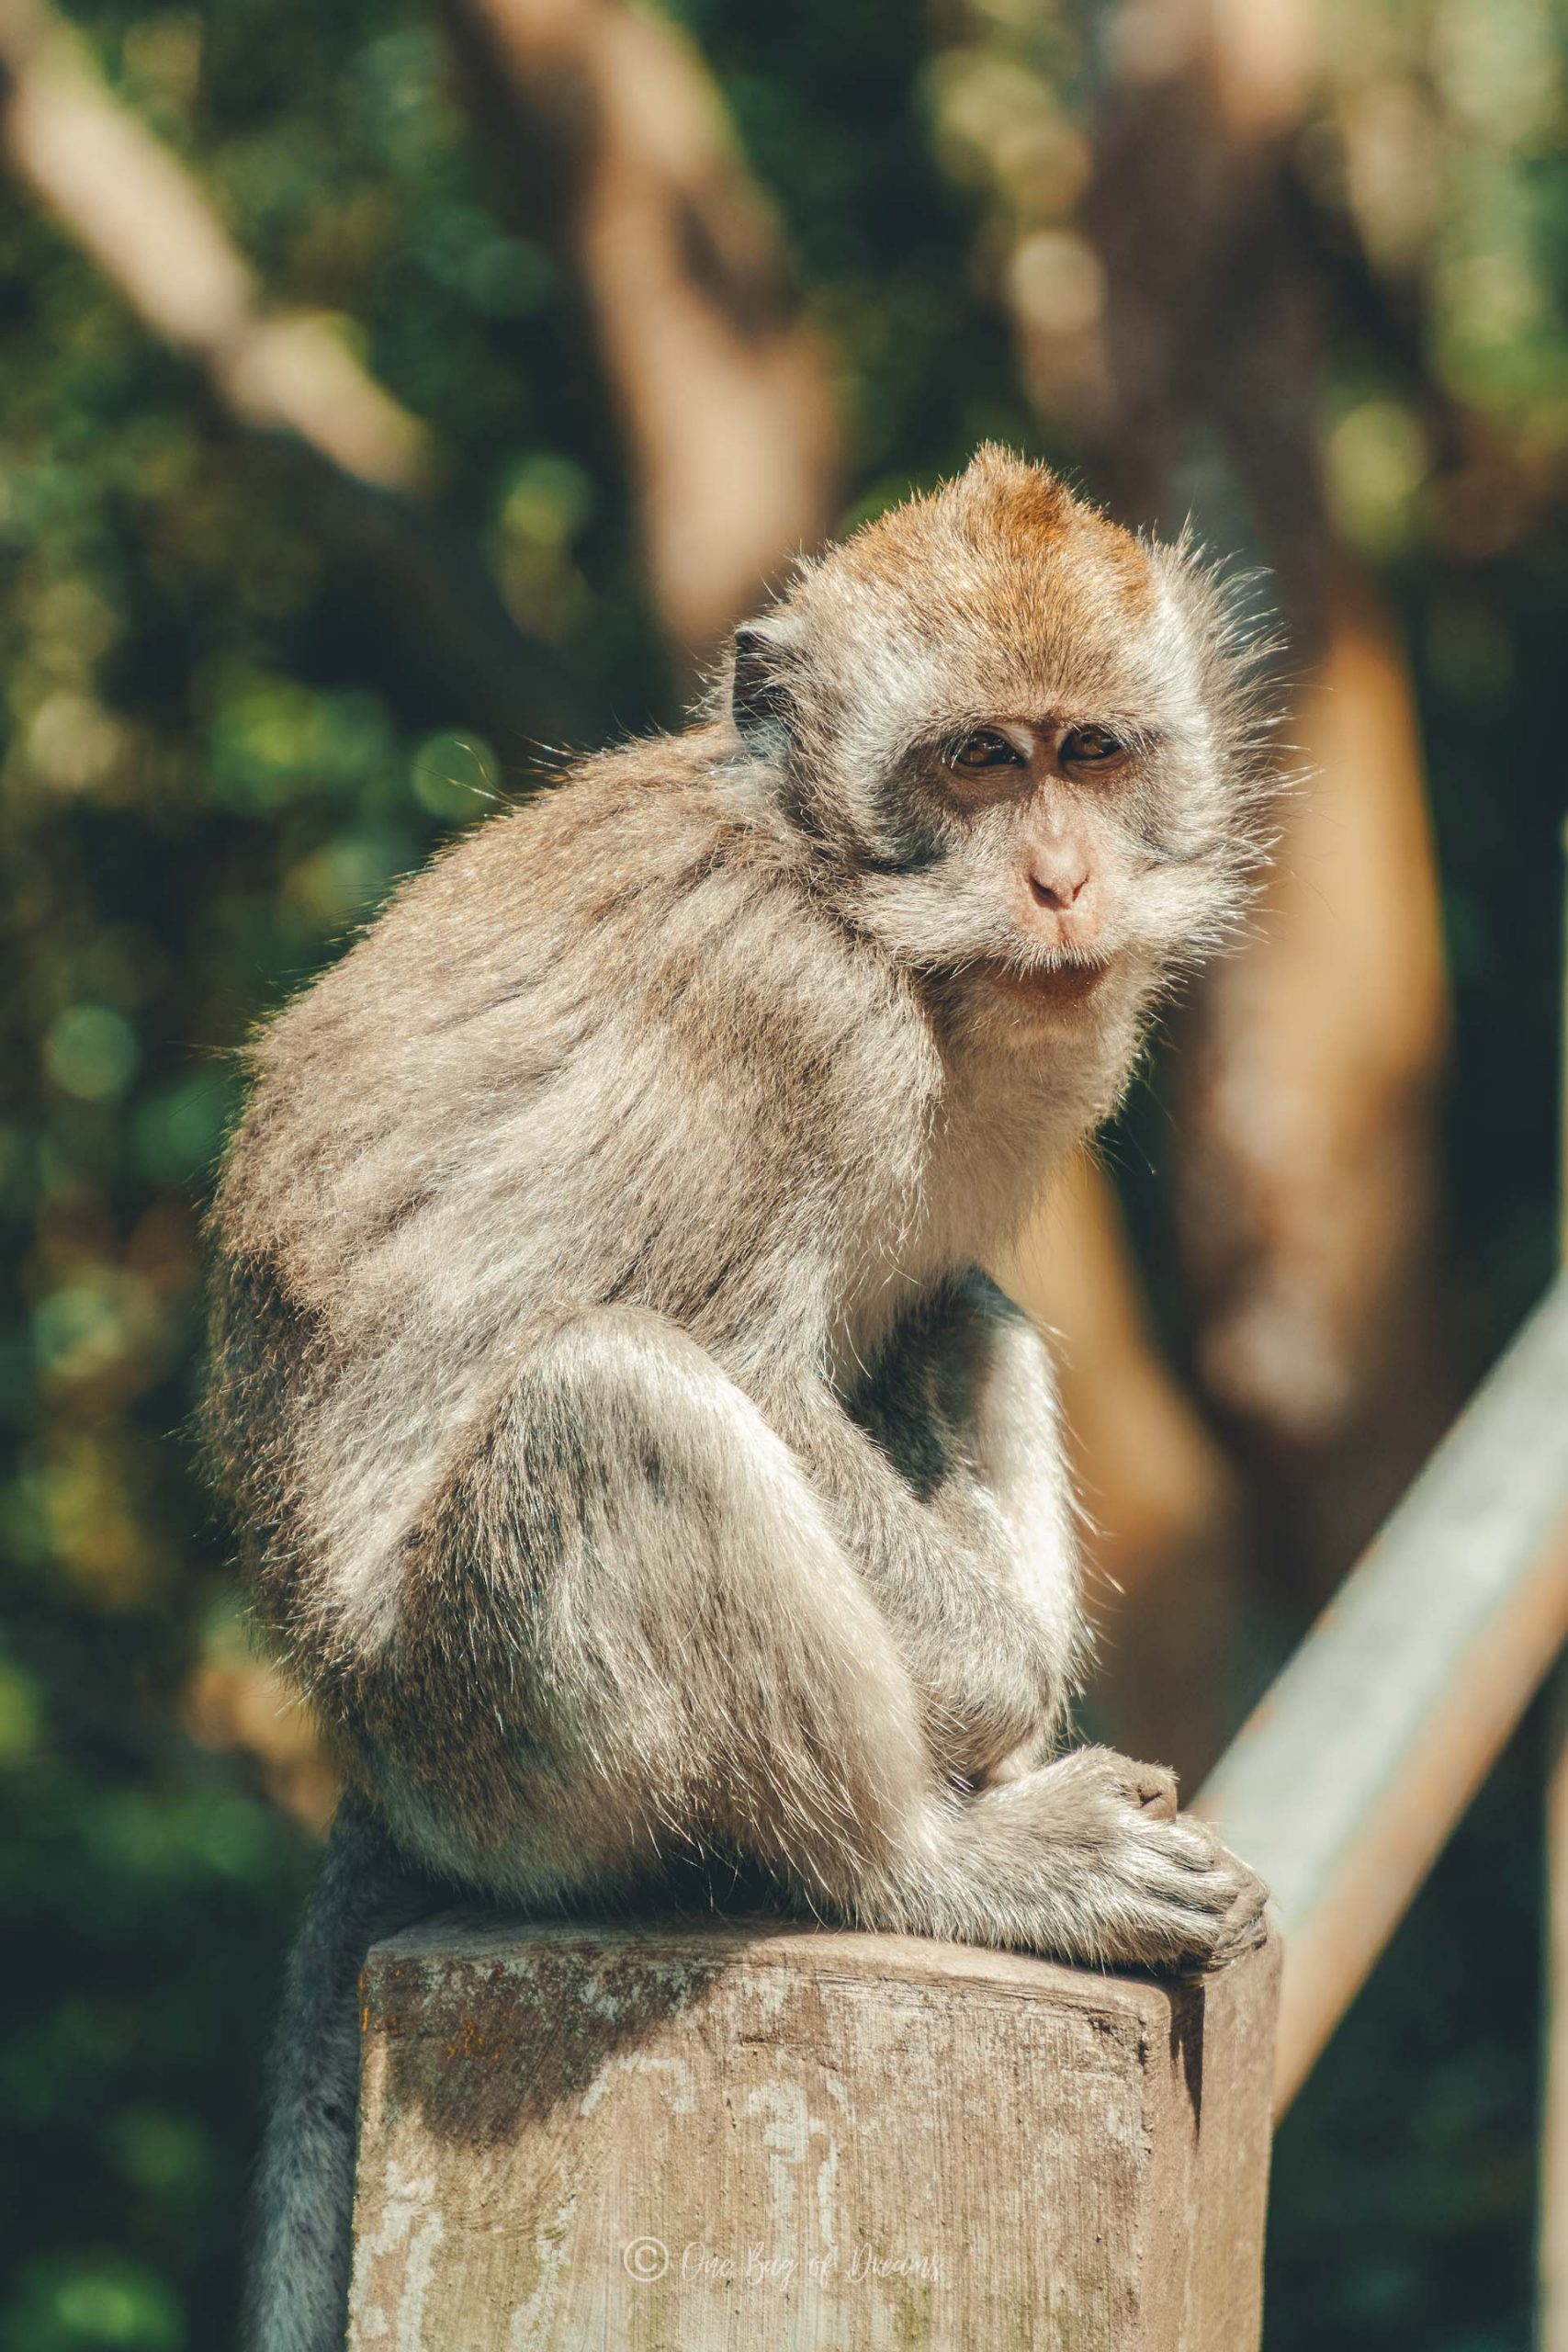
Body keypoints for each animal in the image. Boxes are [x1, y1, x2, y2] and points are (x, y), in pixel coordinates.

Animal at [205, 448, 1279, 2342]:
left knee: (966, 1316)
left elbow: (920, 1321)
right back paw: (935, 1860)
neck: (843, 892)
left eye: (1090, 752)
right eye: (973, 762)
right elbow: (749, 1363)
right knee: (616, 1397)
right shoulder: (793, 1015)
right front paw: (997, 1703)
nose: (1061, 882)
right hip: (491, 1762)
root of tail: (360, 1758)